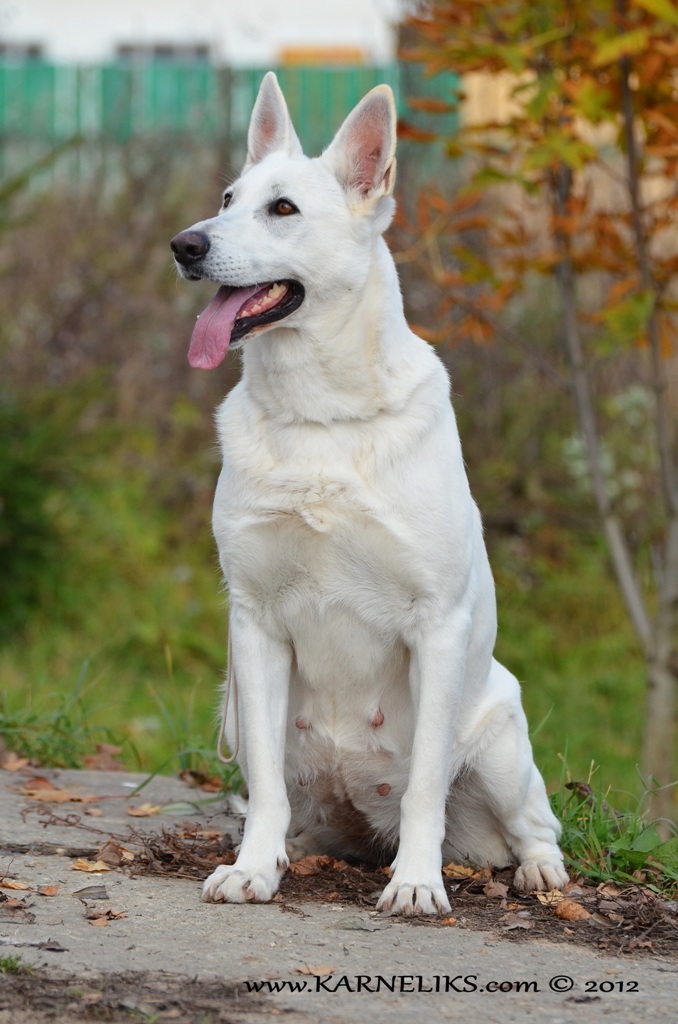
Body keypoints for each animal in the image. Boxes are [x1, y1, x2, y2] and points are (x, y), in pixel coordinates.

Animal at [170, 75, 569, 917]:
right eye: (227, 198)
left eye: (282, 208)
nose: (184, 245)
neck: (318, 416)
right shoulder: (253, 624)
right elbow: (265, 785)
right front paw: (251, 870)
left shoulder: (438, 626)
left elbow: (423, 785)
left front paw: (416, 882)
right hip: (236, 710)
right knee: (280, 800)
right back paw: (283, 851)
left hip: (501, 737)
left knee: (534, 823)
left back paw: (539, 873)